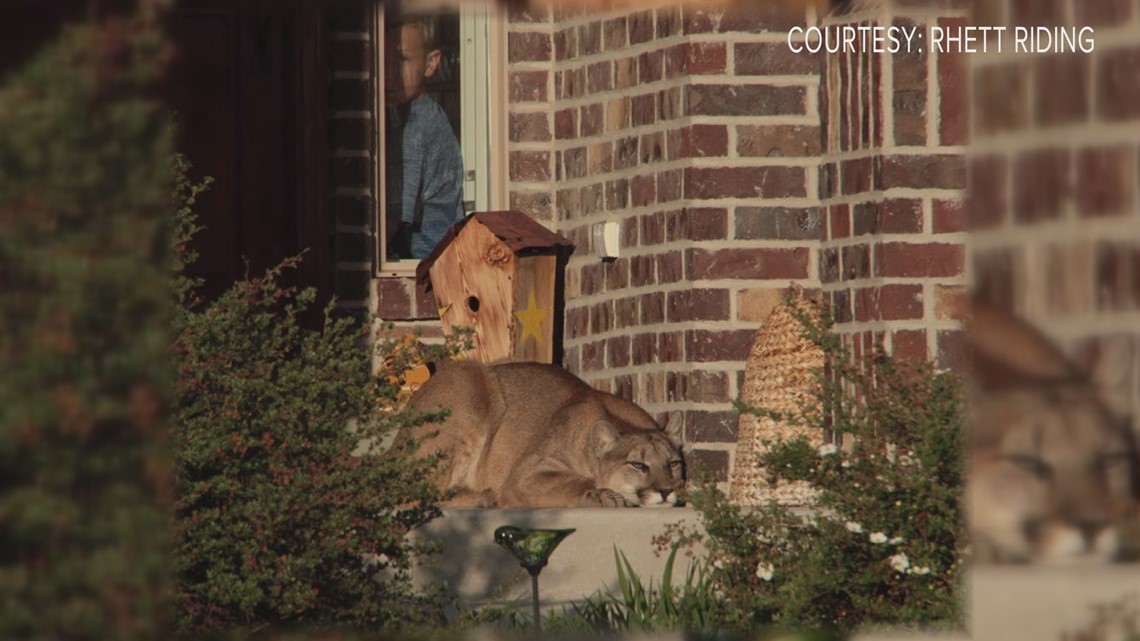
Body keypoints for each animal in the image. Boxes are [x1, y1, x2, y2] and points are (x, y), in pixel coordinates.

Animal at [403, 360, 684, 504]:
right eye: (638, 464)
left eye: (673, 463)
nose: (666, 491)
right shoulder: (525, 474)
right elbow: (577, 479)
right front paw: (604, 494)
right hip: (468, 386)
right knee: (413, 499)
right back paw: (485, 498)